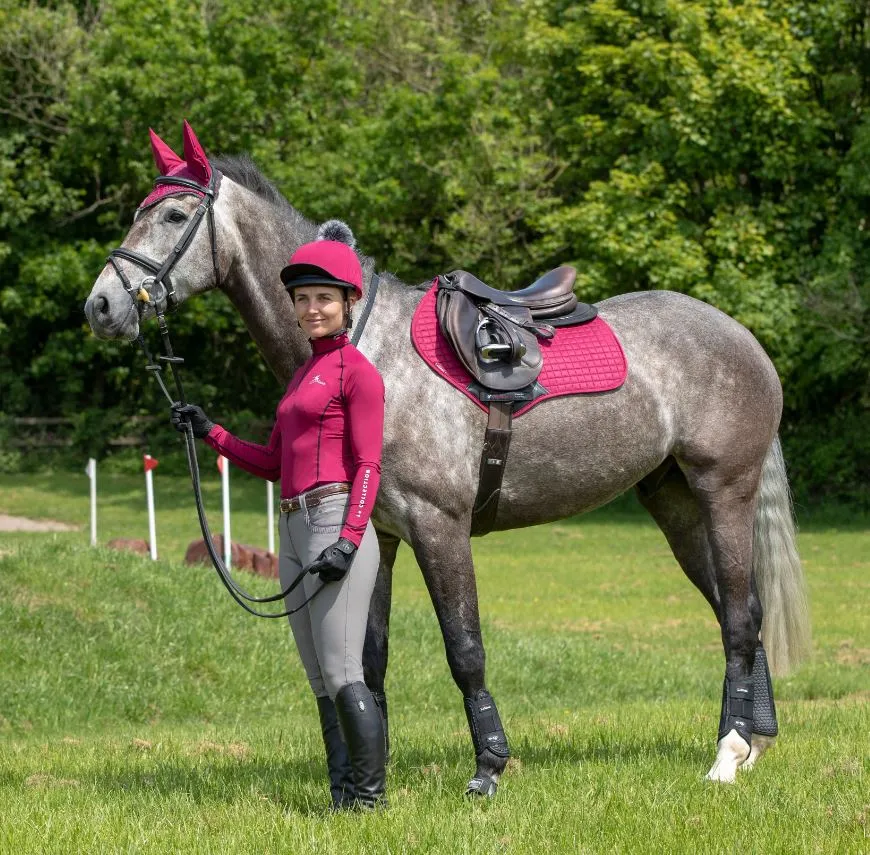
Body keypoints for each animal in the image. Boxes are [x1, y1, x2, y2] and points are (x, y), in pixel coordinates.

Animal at [85, 150, 816, 792]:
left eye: (174, 215)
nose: (101, 306)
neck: (367, 352)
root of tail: (743, 338)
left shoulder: (439, 528)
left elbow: (464, 649)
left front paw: (489, 767)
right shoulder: (377, 537)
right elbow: (368, 657)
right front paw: (368, 775)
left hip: (723, 492)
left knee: (741, 618)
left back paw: (727, 757)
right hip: (673, 501)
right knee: (734, 611)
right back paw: (749, 741)